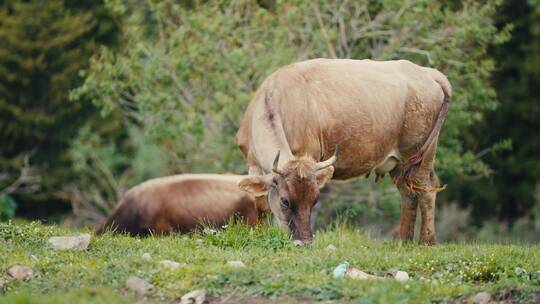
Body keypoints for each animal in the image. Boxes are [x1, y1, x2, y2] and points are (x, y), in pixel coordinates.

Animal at [236, 58, 452, 245]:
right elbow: (261, 204)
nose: (304, 243)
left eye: (315, 200)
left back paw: (426, 242)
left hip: (420, 155)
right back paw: (404, 242)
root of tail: (428, 72)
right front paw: (261, 235)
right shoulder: (253, 164)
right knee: (408, 194)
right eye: (285, 201)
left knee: (426, 191)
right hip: (400, 164)